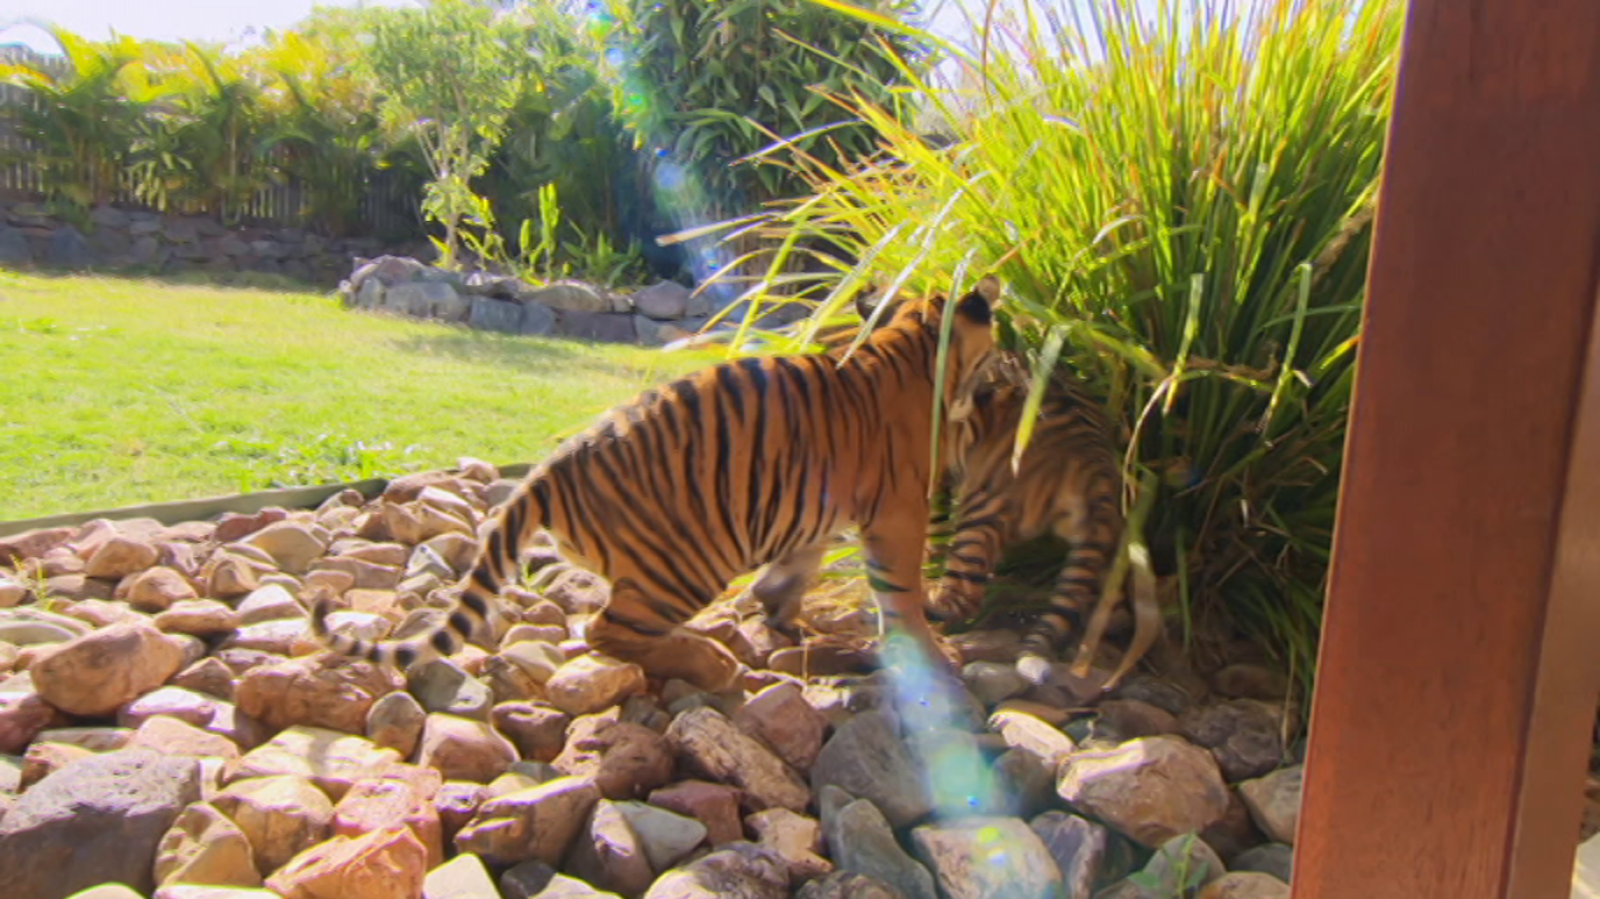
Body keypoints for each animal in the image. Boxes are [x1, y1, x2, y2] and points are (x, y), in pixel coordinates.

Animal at [311, 275, 1001, 692]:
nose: (1008, 373)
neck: (911, 342)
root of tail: (549, 470)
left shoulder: (819, 508)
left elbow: (796, 568)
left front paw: (783, 619)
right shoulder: (899, 510)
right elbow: (902, 592)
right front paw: (934, 654)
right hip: (688, 560)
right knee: (605, 631)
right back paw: (709, 662)